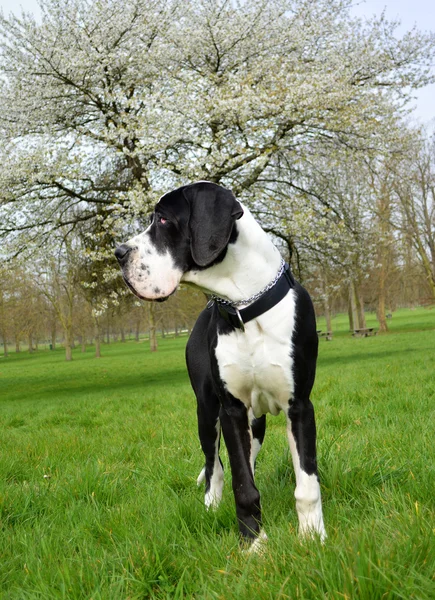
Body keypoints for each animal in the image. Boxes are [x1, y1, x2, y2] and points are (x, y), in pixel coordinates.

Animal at [116, 182, 328, 548]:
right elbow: (242, 485)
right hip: (206, 411)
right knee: (214, 464)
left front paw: (313, 537)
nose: (118, 253)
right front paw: (254, 545)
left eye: (163, 219)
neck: (245, 306)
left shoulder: (299, 405)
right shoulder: (231, 408)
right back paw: (211, 505)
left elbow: (306, 483)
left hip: (255, 421)